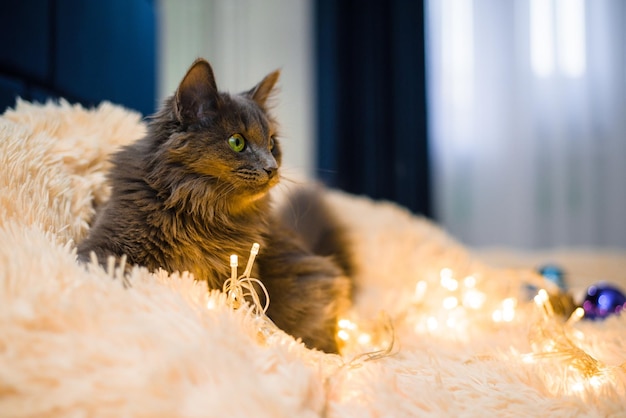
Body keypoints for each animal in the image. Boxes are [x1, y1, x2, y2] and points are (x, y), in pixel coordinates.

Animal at [77, 58, 352, 352]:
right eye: (237, 142)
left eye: (272, 144)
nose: (272, 168)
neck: (201, 209)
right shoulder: (103, 245)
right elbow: (119, 271)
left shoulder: (239, 277)